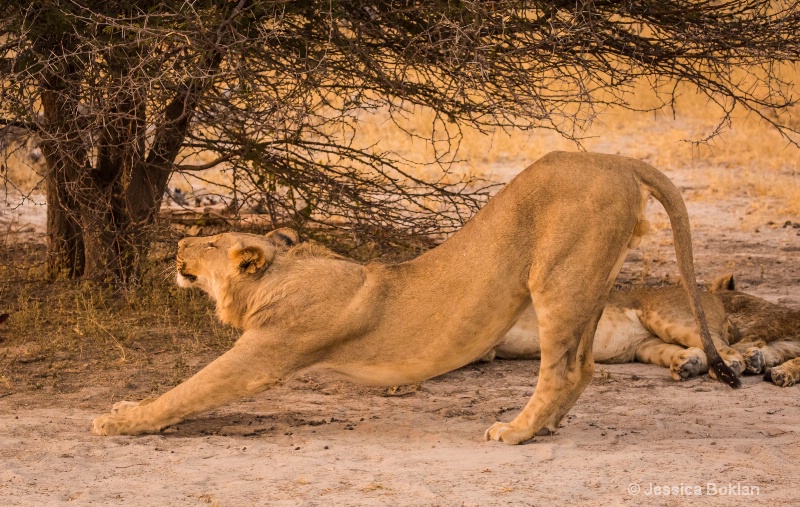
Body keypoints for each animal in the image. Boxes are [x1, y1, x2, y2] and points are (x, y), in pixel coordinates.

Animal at [92, 152, 736, 444]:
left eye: (208, 241)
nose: (179, 243)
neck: (282, 272)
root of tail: (616, 158)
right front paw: (125, 405)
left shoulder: (267, 351)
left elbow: (189, 389)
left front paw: (119, 420)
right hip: (592, 286)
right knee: (582, 369)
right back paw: (546, 427)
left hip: (557, 280)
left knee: (559, 370)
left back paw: (515, 432)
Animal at [488, 276, 800, 386]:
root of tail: (710, 295)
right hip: (648, 346)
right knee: (697, 351)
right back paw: (687, 365)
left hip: (669, 319)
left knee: (724, 347)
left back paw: (738, 364)